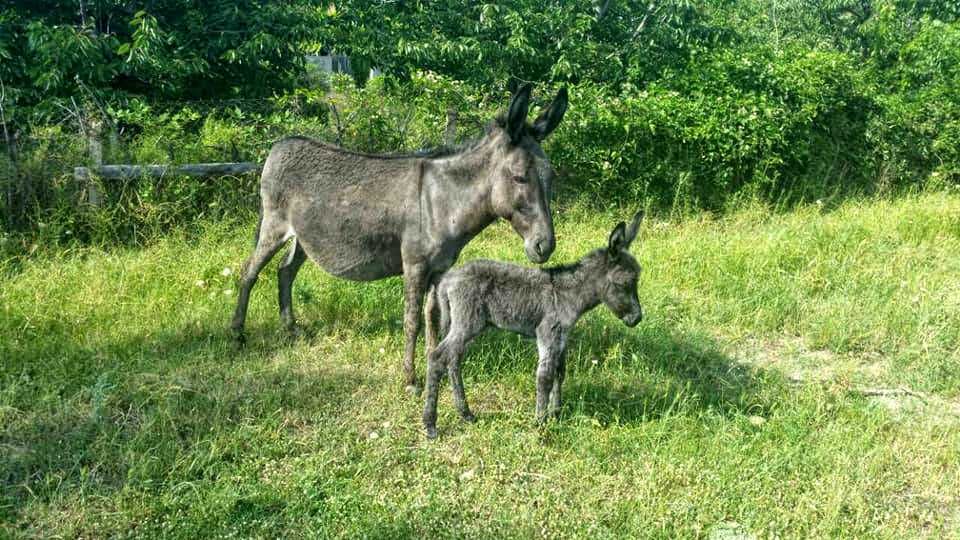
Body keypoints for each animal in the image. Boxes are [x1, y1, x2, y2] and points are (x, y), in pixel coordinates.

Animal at [422, 213, 640, 436]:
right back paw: (430, 424)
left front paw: (555, 414)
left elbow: (559, 372)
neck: (567, 294)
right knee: (437, 357)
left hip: (467, 326)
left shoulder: (561, 338)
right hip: (467, 324)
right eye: (624, 283)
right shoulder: (547, 334)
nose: (637, 318)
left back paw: (465, 413)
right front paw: (540, 424)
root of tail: (448, 280)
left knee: (453, 360)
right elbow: (544, 377)